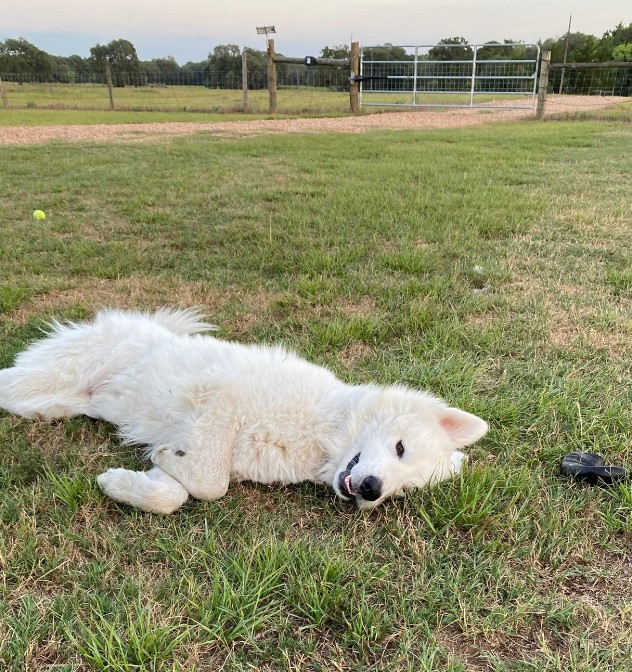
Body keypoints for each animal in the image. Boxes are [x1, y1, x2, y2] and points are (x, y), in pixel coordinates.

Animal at [0, 308, 488, 512]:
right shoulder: (223, 401)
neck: (322, 430)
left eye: (403, 491)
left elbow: (176, 492)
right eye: (400, 448)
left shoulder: (199, 442)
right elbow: (211, 486)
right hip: (50, 373)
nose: (371, 490)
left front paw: (125, 484)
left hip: (59, 399)